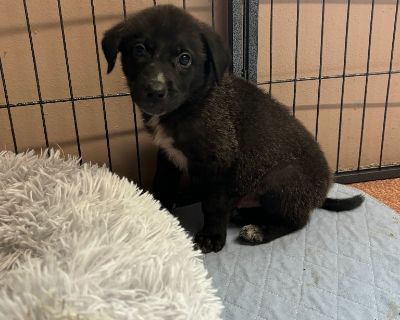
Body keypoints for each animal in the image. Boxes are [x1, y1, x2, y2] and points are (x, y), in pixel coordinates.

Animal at [102, 5, 362, 254]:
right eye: (139, 50)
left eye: (185, 59)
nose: (155, 91)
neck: (190, 105)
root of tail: (321, 194)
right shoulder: (167, 156)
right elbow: (162, 186)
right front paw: (158, 218)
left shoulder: (219, 162)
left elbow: (213, 204)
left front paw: (212, 237)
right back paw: (243, 215)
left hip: (283, 178)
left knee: (297, 220)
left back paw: (258, 231)